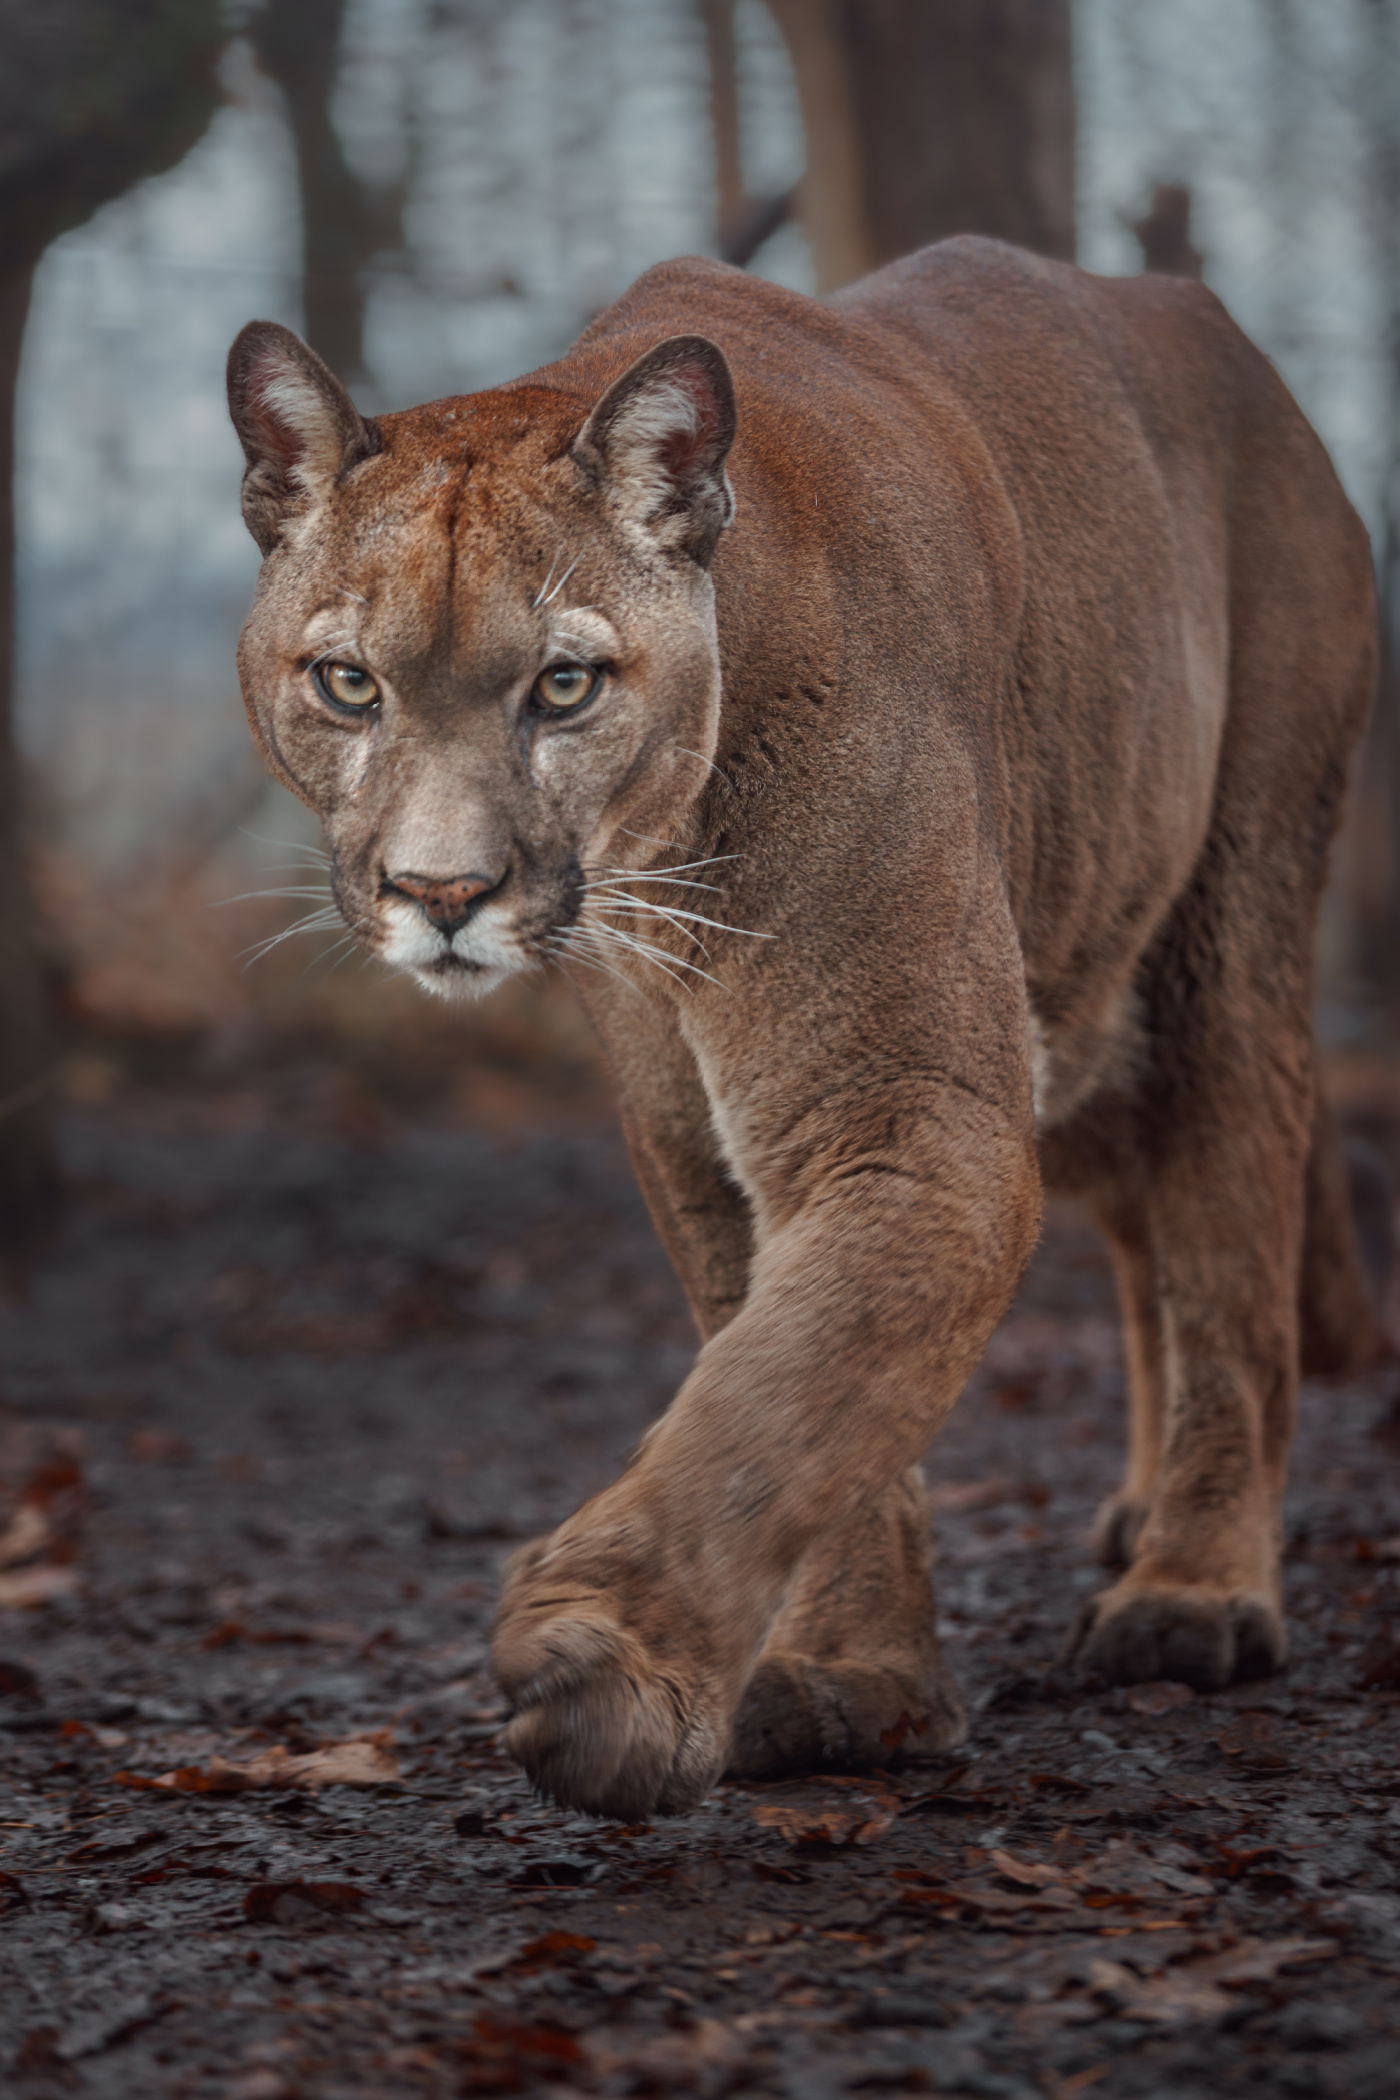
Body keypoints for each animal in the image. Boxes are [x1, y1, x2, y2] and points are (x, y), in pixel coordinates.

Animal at [227, 236, 1387, 1821]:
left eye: (564, 684)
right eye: (349, 683)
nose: (443, 892)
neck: (667, 870)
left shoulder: (906, 1108)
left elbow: (792, 1382)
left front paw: (613, 1659)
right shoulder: (695, 1133)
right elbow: (797, 1369)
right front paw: (854, 1682)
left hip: (1228, 923)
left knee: (1227, 1237)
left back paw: (1192, 1587)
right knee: (1149, 1218)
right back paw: (1141, 1513)